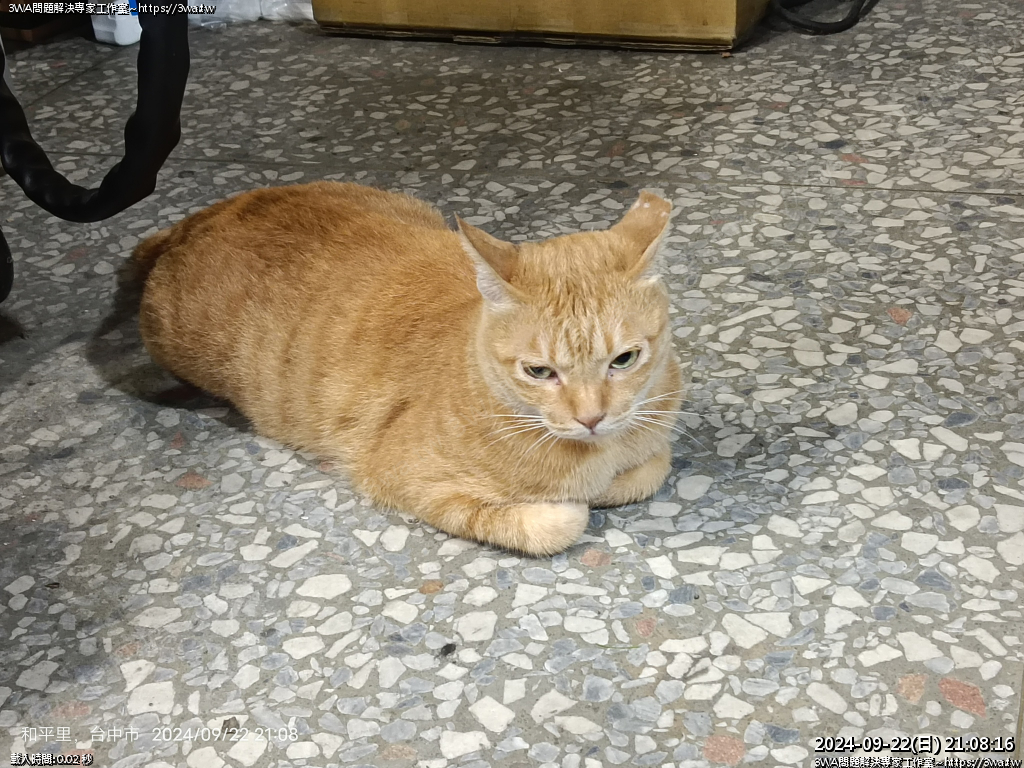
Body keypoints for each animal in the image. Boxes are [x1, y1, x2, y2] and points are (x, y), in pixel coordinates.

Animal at [136, 182, 683, 556]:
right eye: (539, 372)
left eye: (624, 359)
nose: (591, 418)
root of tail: (191, 223)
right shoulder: (411, 481)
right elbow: (558, 523)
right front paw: (571, 504)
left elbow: (652, 468)